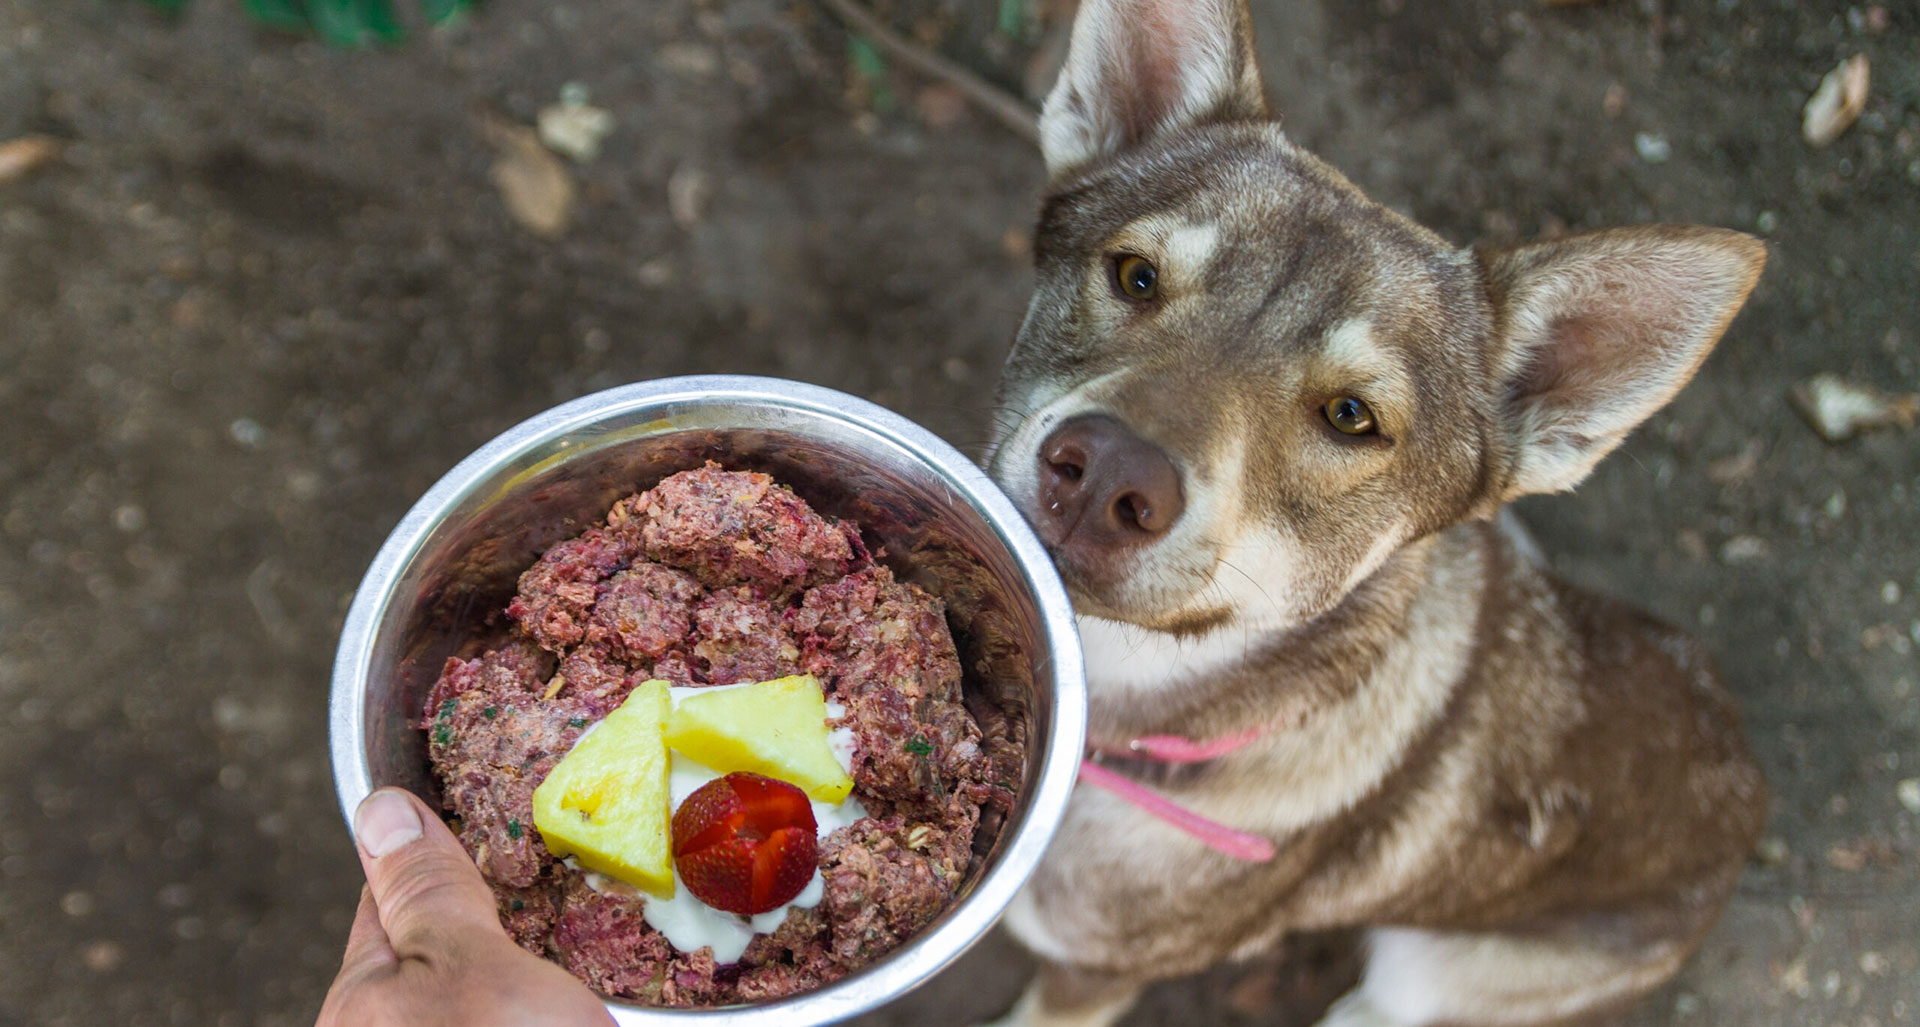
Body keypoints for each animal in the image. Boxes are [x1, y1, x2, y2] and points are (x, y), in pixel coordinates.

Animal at [990, 2, 1766, 1027]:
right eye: (1135, 276)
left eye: (1351, 416)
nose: (1105, 473)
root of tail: (1751, 782)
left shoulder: (1089, 973)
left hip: (1431, 973)